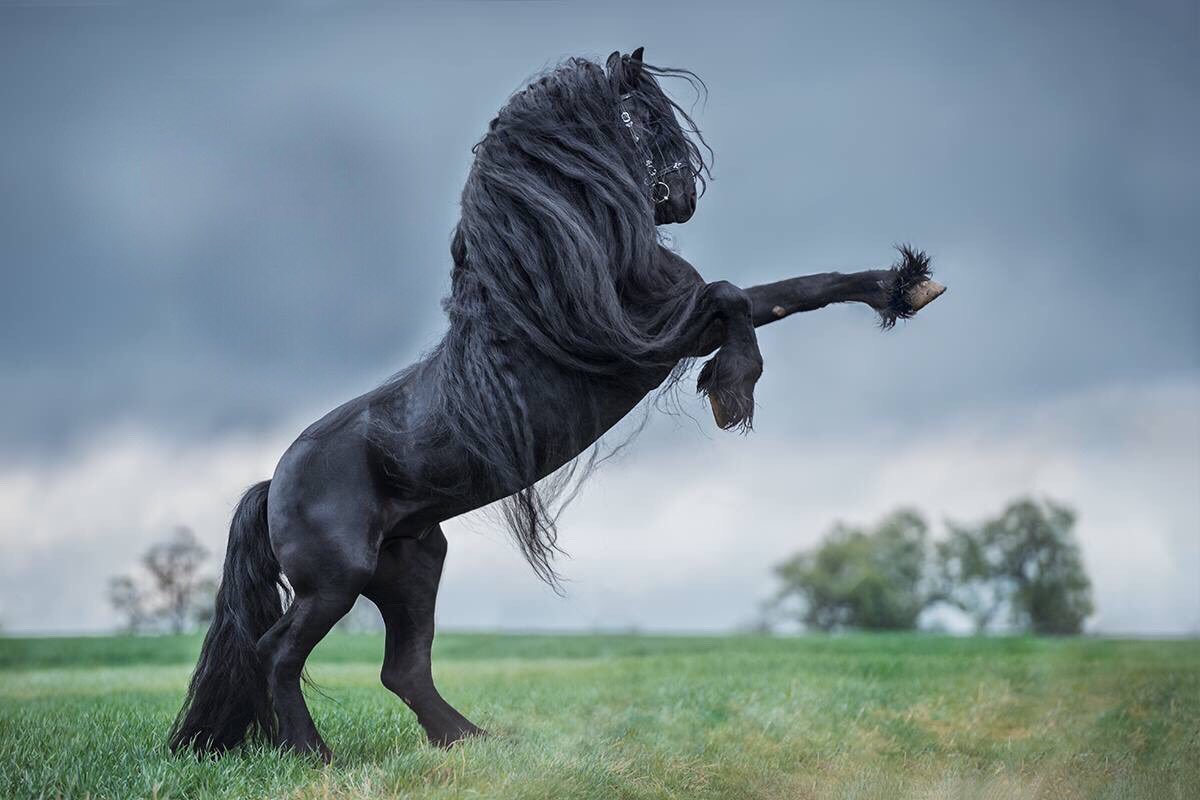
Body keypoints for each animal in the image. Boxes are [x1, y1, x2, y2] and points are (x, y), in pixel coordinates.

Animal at [168, 46, 945, 762]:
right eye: (641, 118)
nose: (682, 196)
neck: (546, 284)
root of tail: (274, 480)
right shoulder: (655, 338)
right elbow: (737, 298)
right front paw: (732, 392)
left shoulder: (674, 321)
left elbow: (792, 290)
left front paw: (905, 287)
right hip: (337, 581)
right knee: (278, 653)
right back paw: (315, 754)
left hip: (413, 564)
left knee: (403, 669)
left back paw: (473, 742)